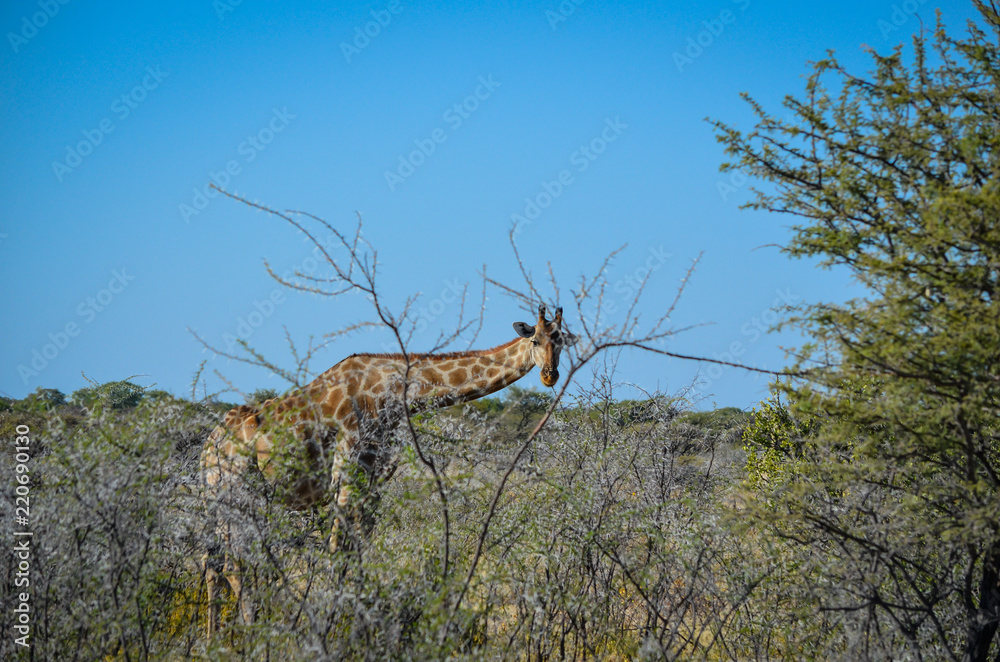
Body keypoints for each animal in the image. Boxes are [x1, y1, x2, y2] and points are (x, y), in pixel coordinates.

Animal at [200, 305, 577, 637]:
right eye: (535, 341)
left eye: (560, 341)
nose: (550, 375)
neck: (396, 394)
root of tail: (209, 447)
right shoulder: (348, 470)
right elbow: (338, 552)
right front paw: (333, 625)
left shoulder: (375, 477)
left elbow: (363, 550)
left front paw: (362, 621)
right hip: (238, 492)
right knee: (233, 563)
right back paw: (252, 631)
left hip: (217, 498)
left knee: (212, 563)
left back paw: (214, 638)